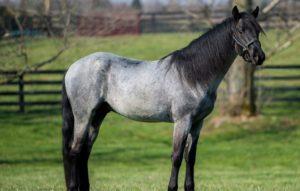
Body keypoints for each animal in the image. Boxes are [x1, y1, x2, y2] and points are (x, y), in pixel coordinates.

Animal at [61, 5, 264, 191]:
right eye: (240, 30)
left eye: (257, 30)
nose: (259, 56)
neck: (192, 74)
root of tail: (73, 67)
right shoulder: (182, 121)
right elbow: (176, 157)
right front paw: (171, 187)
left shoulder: (197, 123)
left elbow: (190, 157)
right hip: (83, 116)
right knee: (75, 151)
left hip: (97, 116)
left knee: (85, 152)